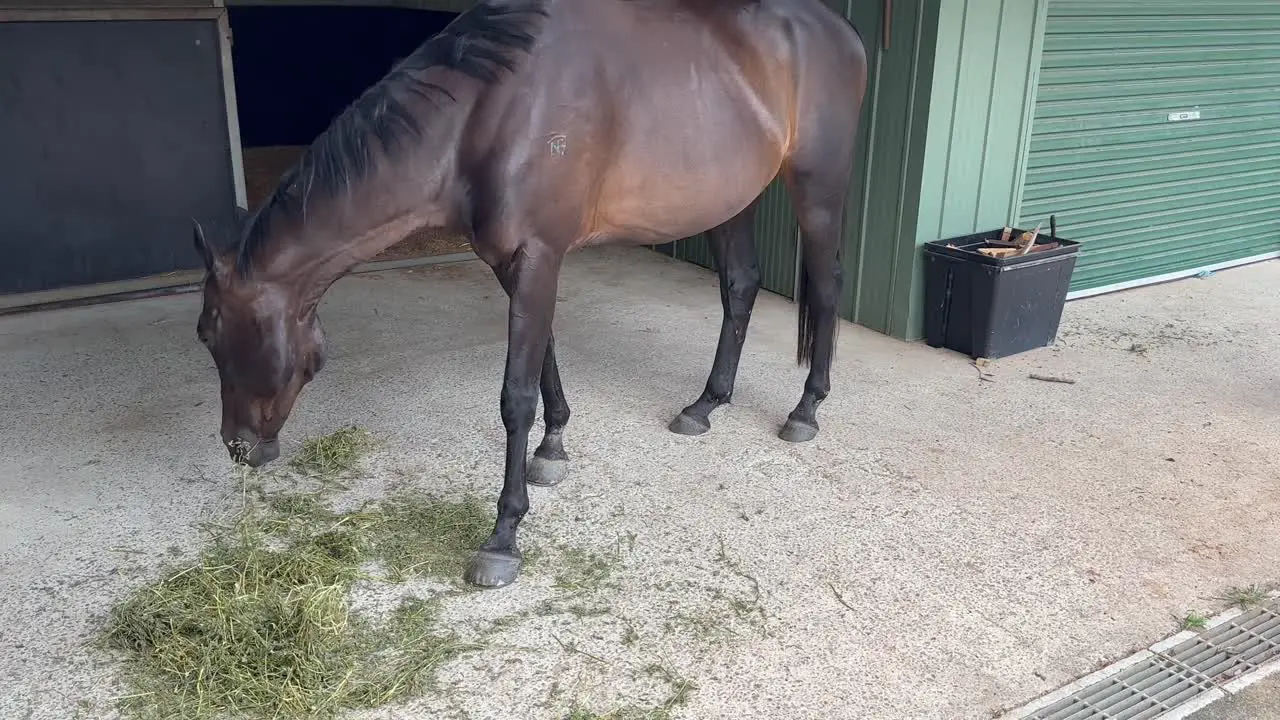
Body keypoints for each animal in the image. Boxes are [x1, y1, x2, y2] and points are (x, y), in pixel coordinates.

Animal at [189, 0, 870, 586]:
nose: (237, 447)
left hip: (818, 186)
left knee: (826, 288)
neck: (485, 114)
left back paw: (805, 410)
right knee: (740, 286)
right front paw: (554, 446)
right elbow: (544, 356)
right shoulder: (512, 262)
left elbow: (514, 393)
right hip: (731, 198)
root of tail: (842, 31)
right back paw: (706, 404)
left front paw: (503, 537)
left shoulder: (539, 255)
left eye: (210, 334)